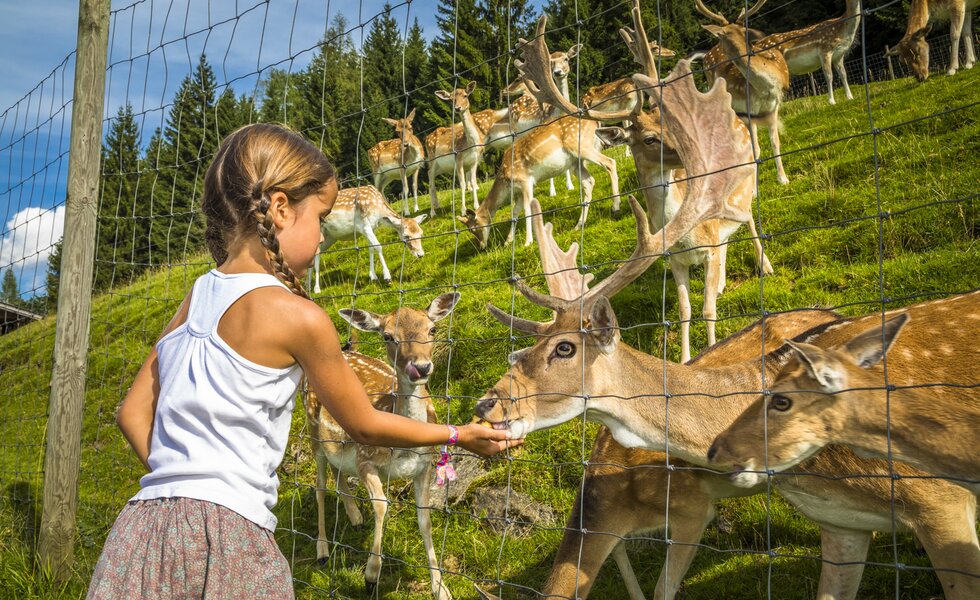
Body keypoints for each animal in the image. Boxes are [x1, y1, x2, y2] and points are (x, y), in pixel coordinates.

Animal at [304, 292, 462, 596]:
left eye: (432, 330)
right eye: (388, 336)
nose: (421, 367)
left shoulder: (424, 466)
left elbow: (425, 520)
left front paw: (441, 588)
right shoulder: (365, 459)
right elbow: (381, 506)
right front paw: (371, 575)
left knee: (337, 471)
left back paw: (354, 517)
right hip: (313, 430)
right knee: (319, 485)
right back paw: (323, 550)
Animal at [692, 0, 792, 185]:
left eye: (745, 31)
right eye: (723, 34)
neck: (765, 89)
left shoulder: (773, 107)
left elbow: (775, 142)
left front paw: (783, 178)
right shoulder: (746, 111)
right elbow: (754, 150)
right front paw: (753, 186)